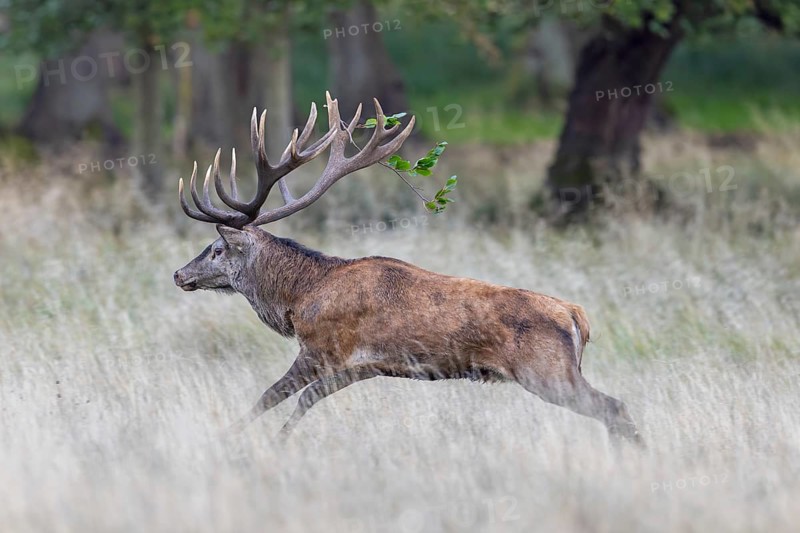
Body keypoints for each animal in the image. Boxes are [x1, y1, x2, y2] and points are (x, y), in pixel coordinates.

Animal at [173, 92, 644, 446]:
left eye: (216, 249)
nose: (179, 274)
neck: (299, 299)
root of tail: (576, 315)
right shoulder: (363, 365)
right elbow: (307, 401)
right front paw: (273, 441)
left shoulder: (322, 347)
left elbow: (270, 396)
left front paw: (231, 439)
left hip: (546, 370)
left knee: (614, 406)